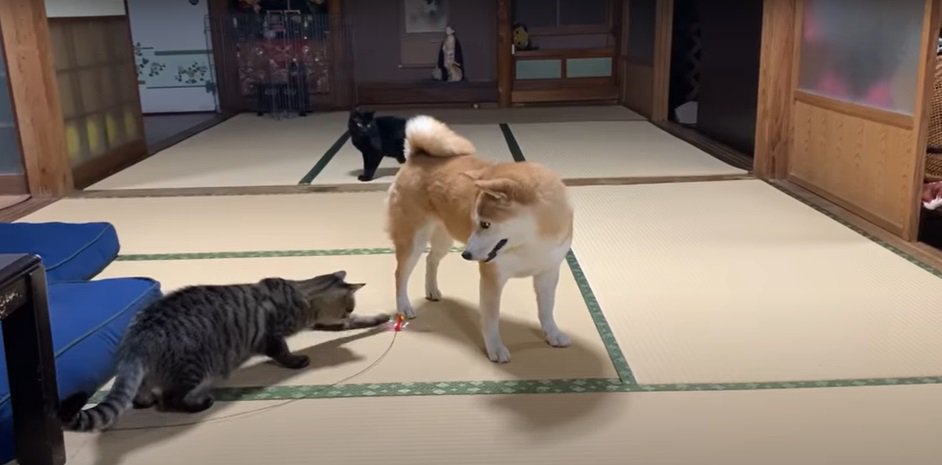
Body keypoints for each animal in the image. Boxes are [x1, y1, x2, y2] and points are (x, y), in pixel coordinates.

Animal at [58, 270, 388, 430]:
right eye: (348, 307)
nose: (346, 314)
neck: (299, 295)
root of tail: (138, 338)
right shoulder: (272, 336)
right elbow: (283, 352)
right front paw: (297, 360)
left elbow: (359, 324)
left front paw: (380, 318)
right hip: (197, 367)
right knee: (171, 399)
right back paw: (200, 403)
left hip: (154, 372)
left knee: (142, 395)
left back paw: (146, 399)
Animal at [386, 116, 576, 362]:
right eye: (474, 220)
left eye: (485, 224)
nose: (466, 255)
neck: (530, 243)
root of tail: (416, 156)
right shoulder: (493, 276)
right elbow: (491, 319)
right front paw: (495, 348)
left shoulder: (548, 273)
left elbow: (546, 310)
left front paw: (553, 334)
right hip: (413, 240)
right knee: (400, 274)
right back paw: (404, 306)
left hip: (444, 238)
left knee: (431, 260)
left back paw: (432, 290)